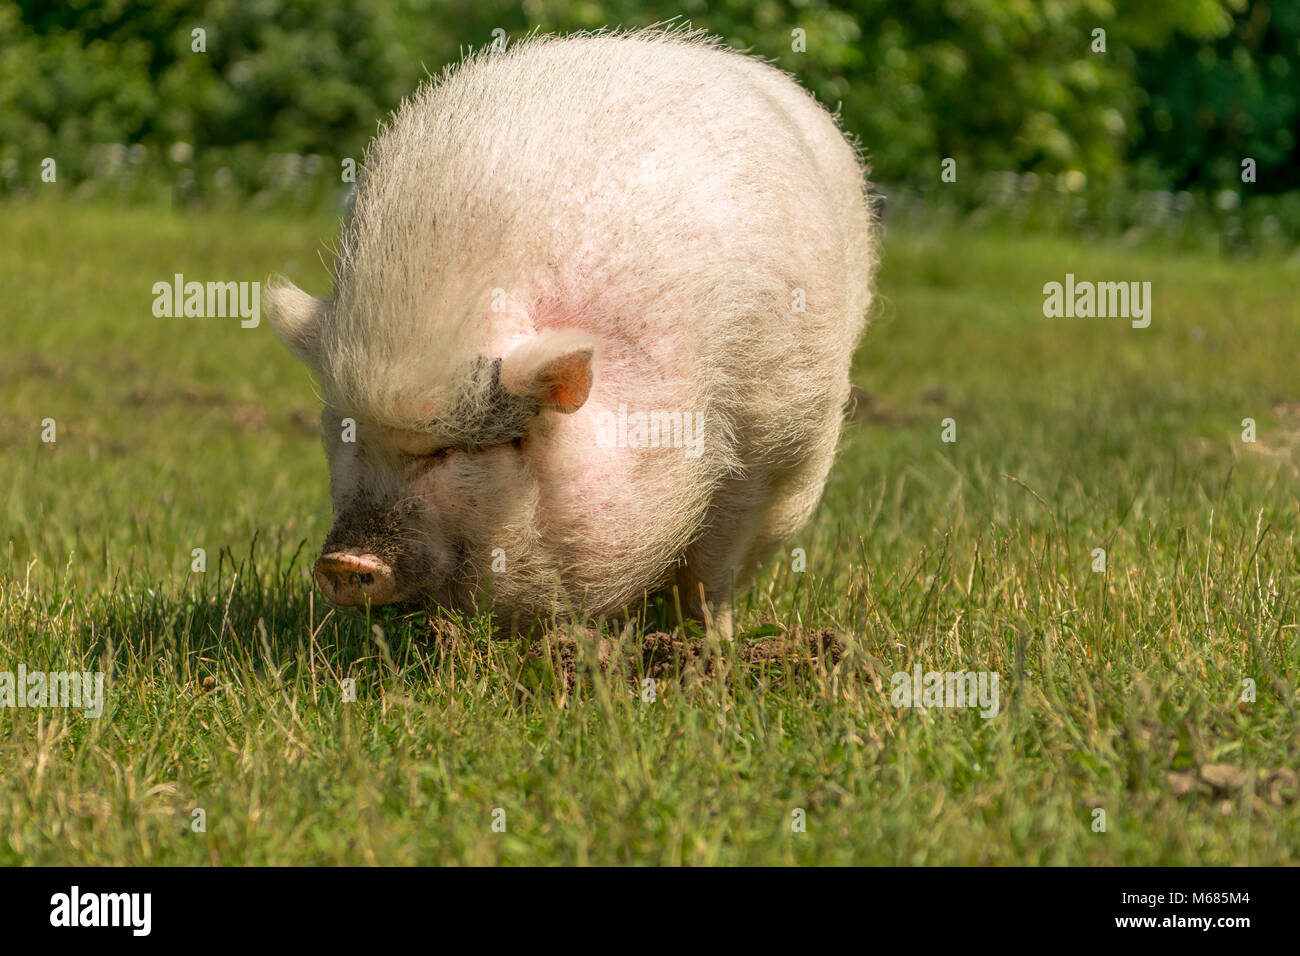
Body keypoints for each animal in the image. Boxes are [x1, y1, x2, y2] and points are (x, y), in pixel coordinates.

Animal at [265, 27, 876, 636]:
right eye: (350, 433)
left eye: (461, 449)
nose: (343, 562)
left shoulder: (761, 439)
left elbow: (712, 568)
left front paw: (712, 646)